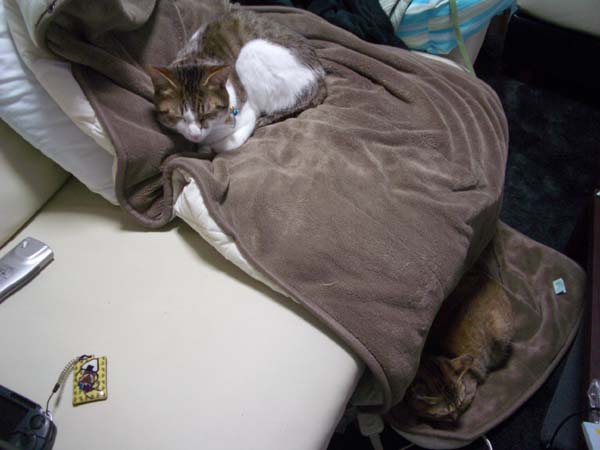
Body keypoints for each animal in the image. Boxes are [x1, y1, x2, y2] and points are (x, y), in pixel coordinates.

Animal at [146, 8, 327, 152]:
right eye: (178, 116)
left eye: (207, 113)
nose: (195, 135)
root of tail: (320, 75)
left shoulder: (249, 114)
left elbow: (226, 144)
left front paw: (207, 147)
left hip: (250, 50)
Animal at [403, 272, 514, 424]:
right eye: (442, 414)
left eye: (460, 404)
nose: (455, 419)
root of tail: (488, 279)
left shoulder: (470, 389)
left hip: (500, 331)